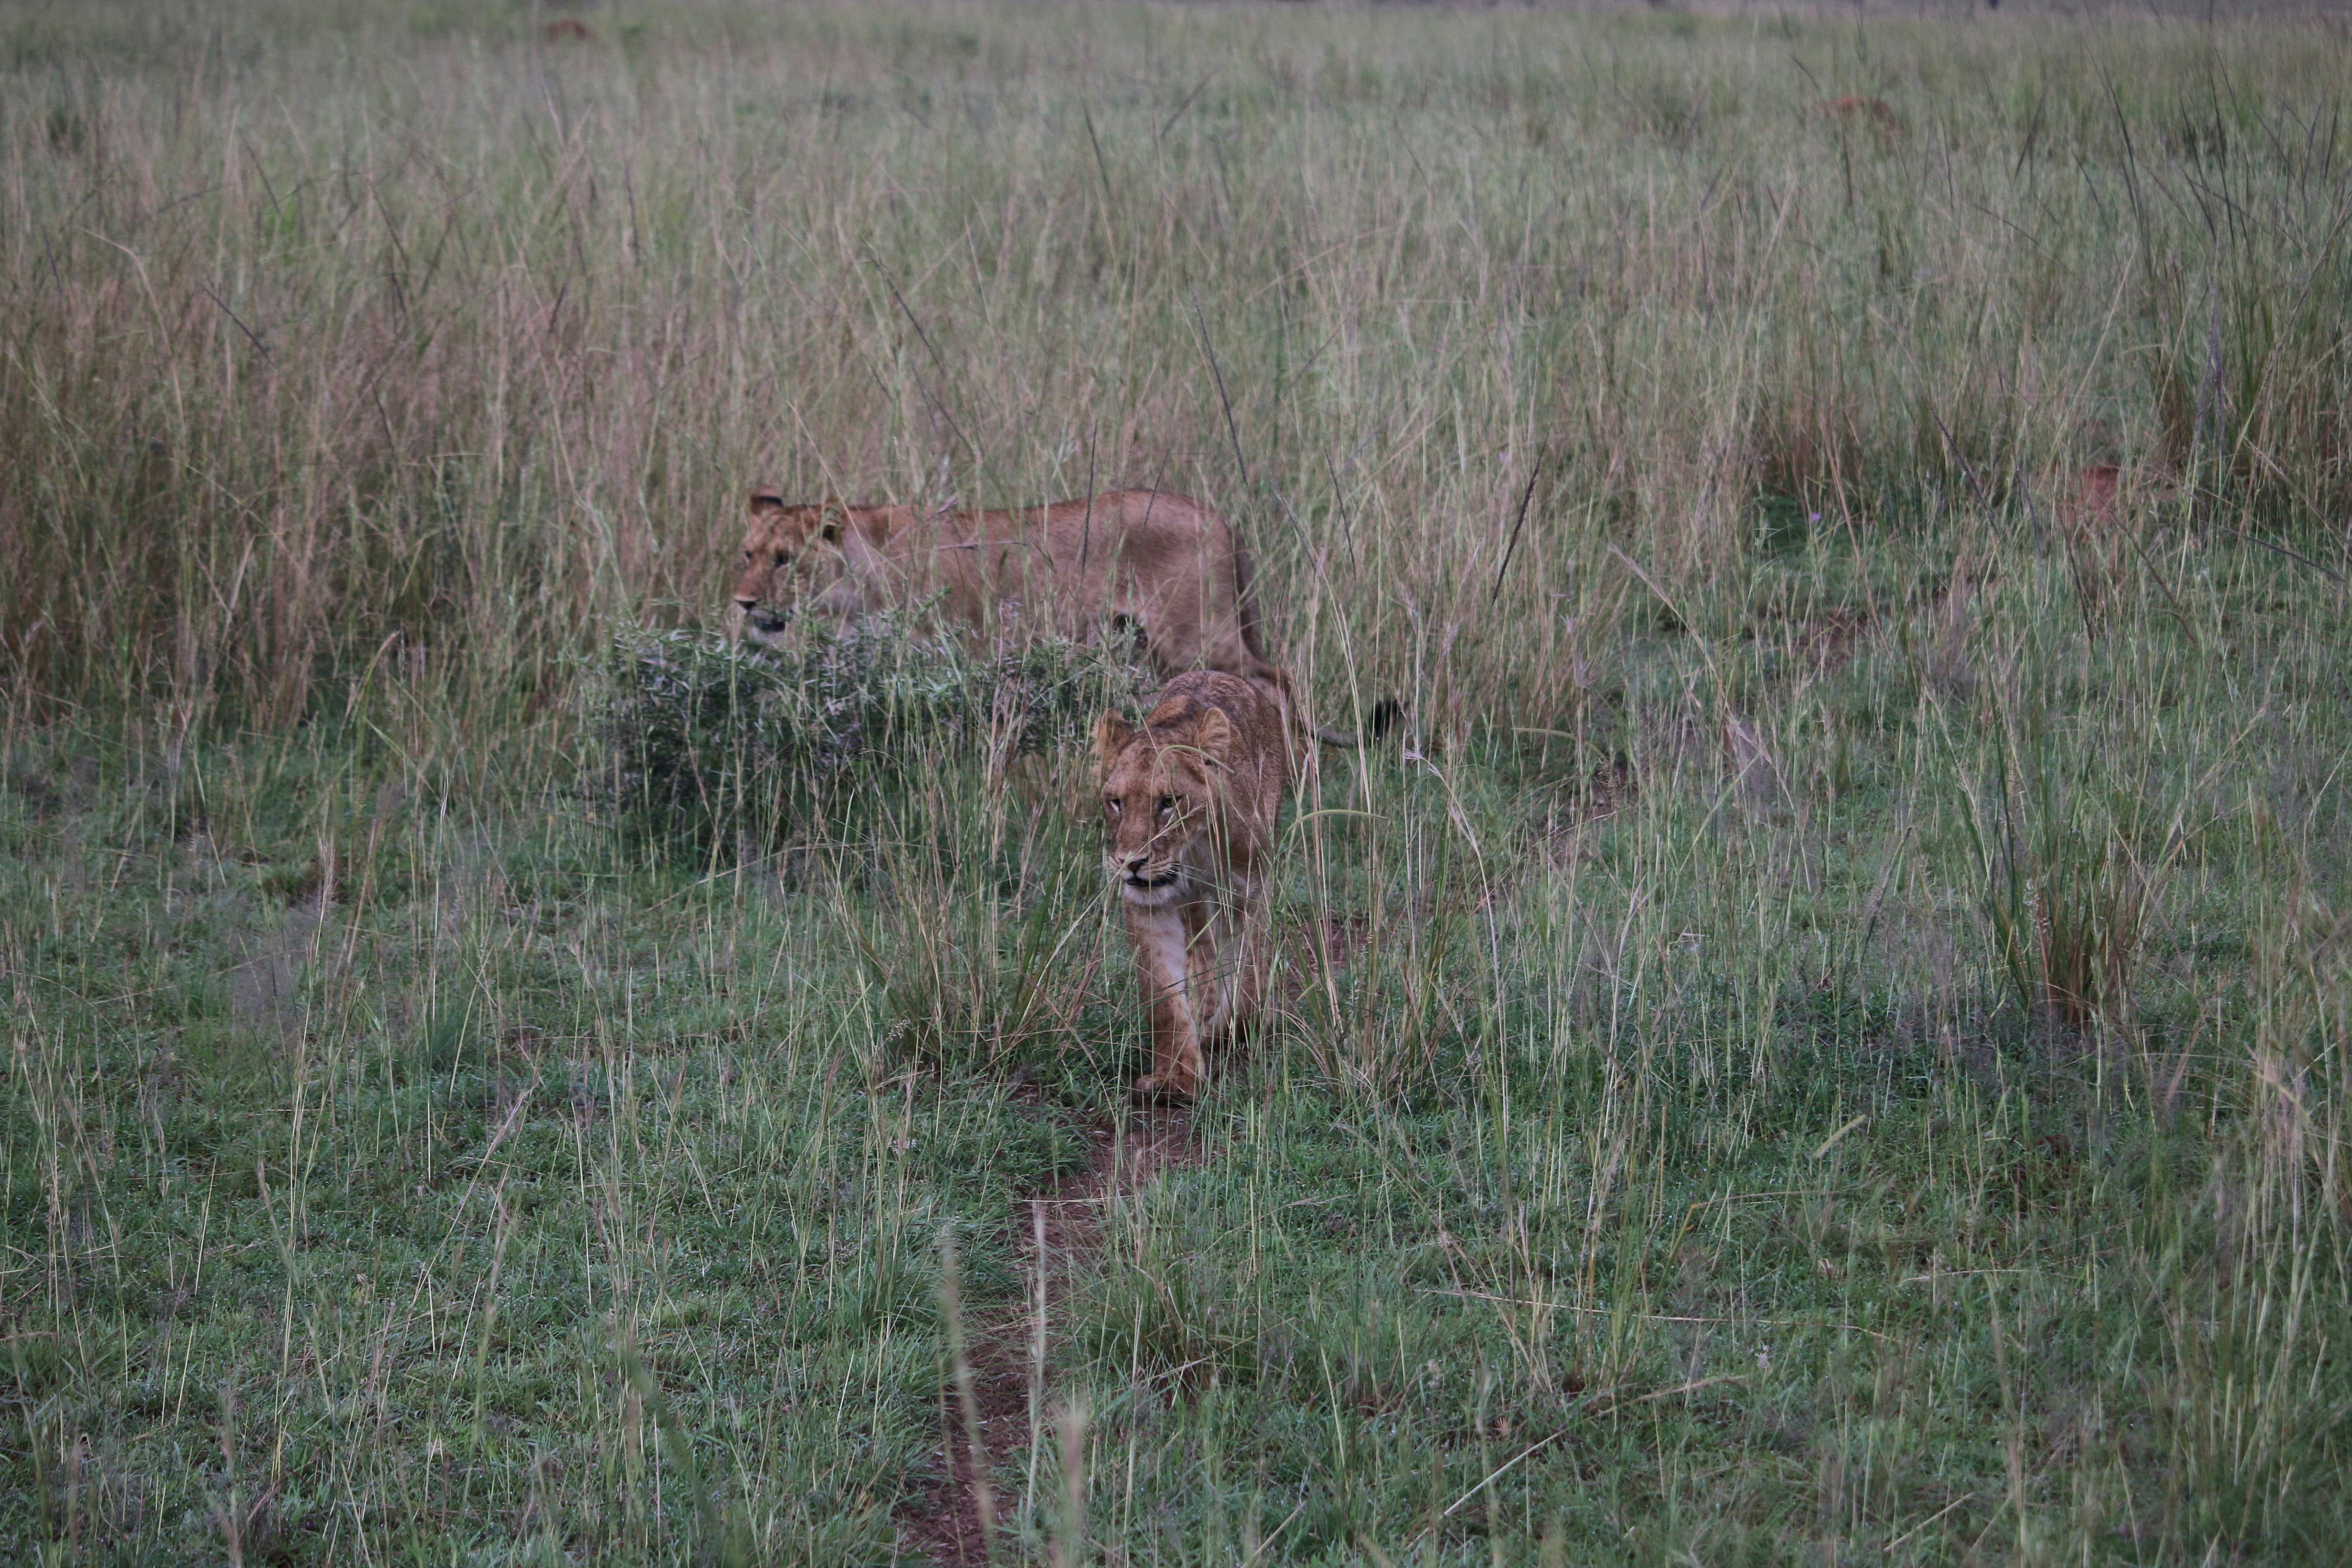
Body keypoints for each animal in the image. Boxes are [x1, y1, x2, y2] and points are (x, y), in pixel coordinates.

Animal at [729, 487, 1391, 755]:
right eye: (748, 553)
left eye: (785, 561)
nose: (743, 604)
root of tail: (1219, 517)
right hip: (1156, 647)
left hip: (1198, 637)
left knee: (1277, 681)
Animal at [1095, 670, 1287, 1101]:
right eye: (1116, 802)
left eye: (1169, 802)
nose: (1131, 863)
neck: (1193, 852)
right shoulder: (1148, 904)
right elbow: (1164, 996)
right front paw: (1175, 1079)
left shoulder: (1251, 890)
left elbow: (1249, 980)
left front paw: (1225, 1033)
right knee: (1204, 952)